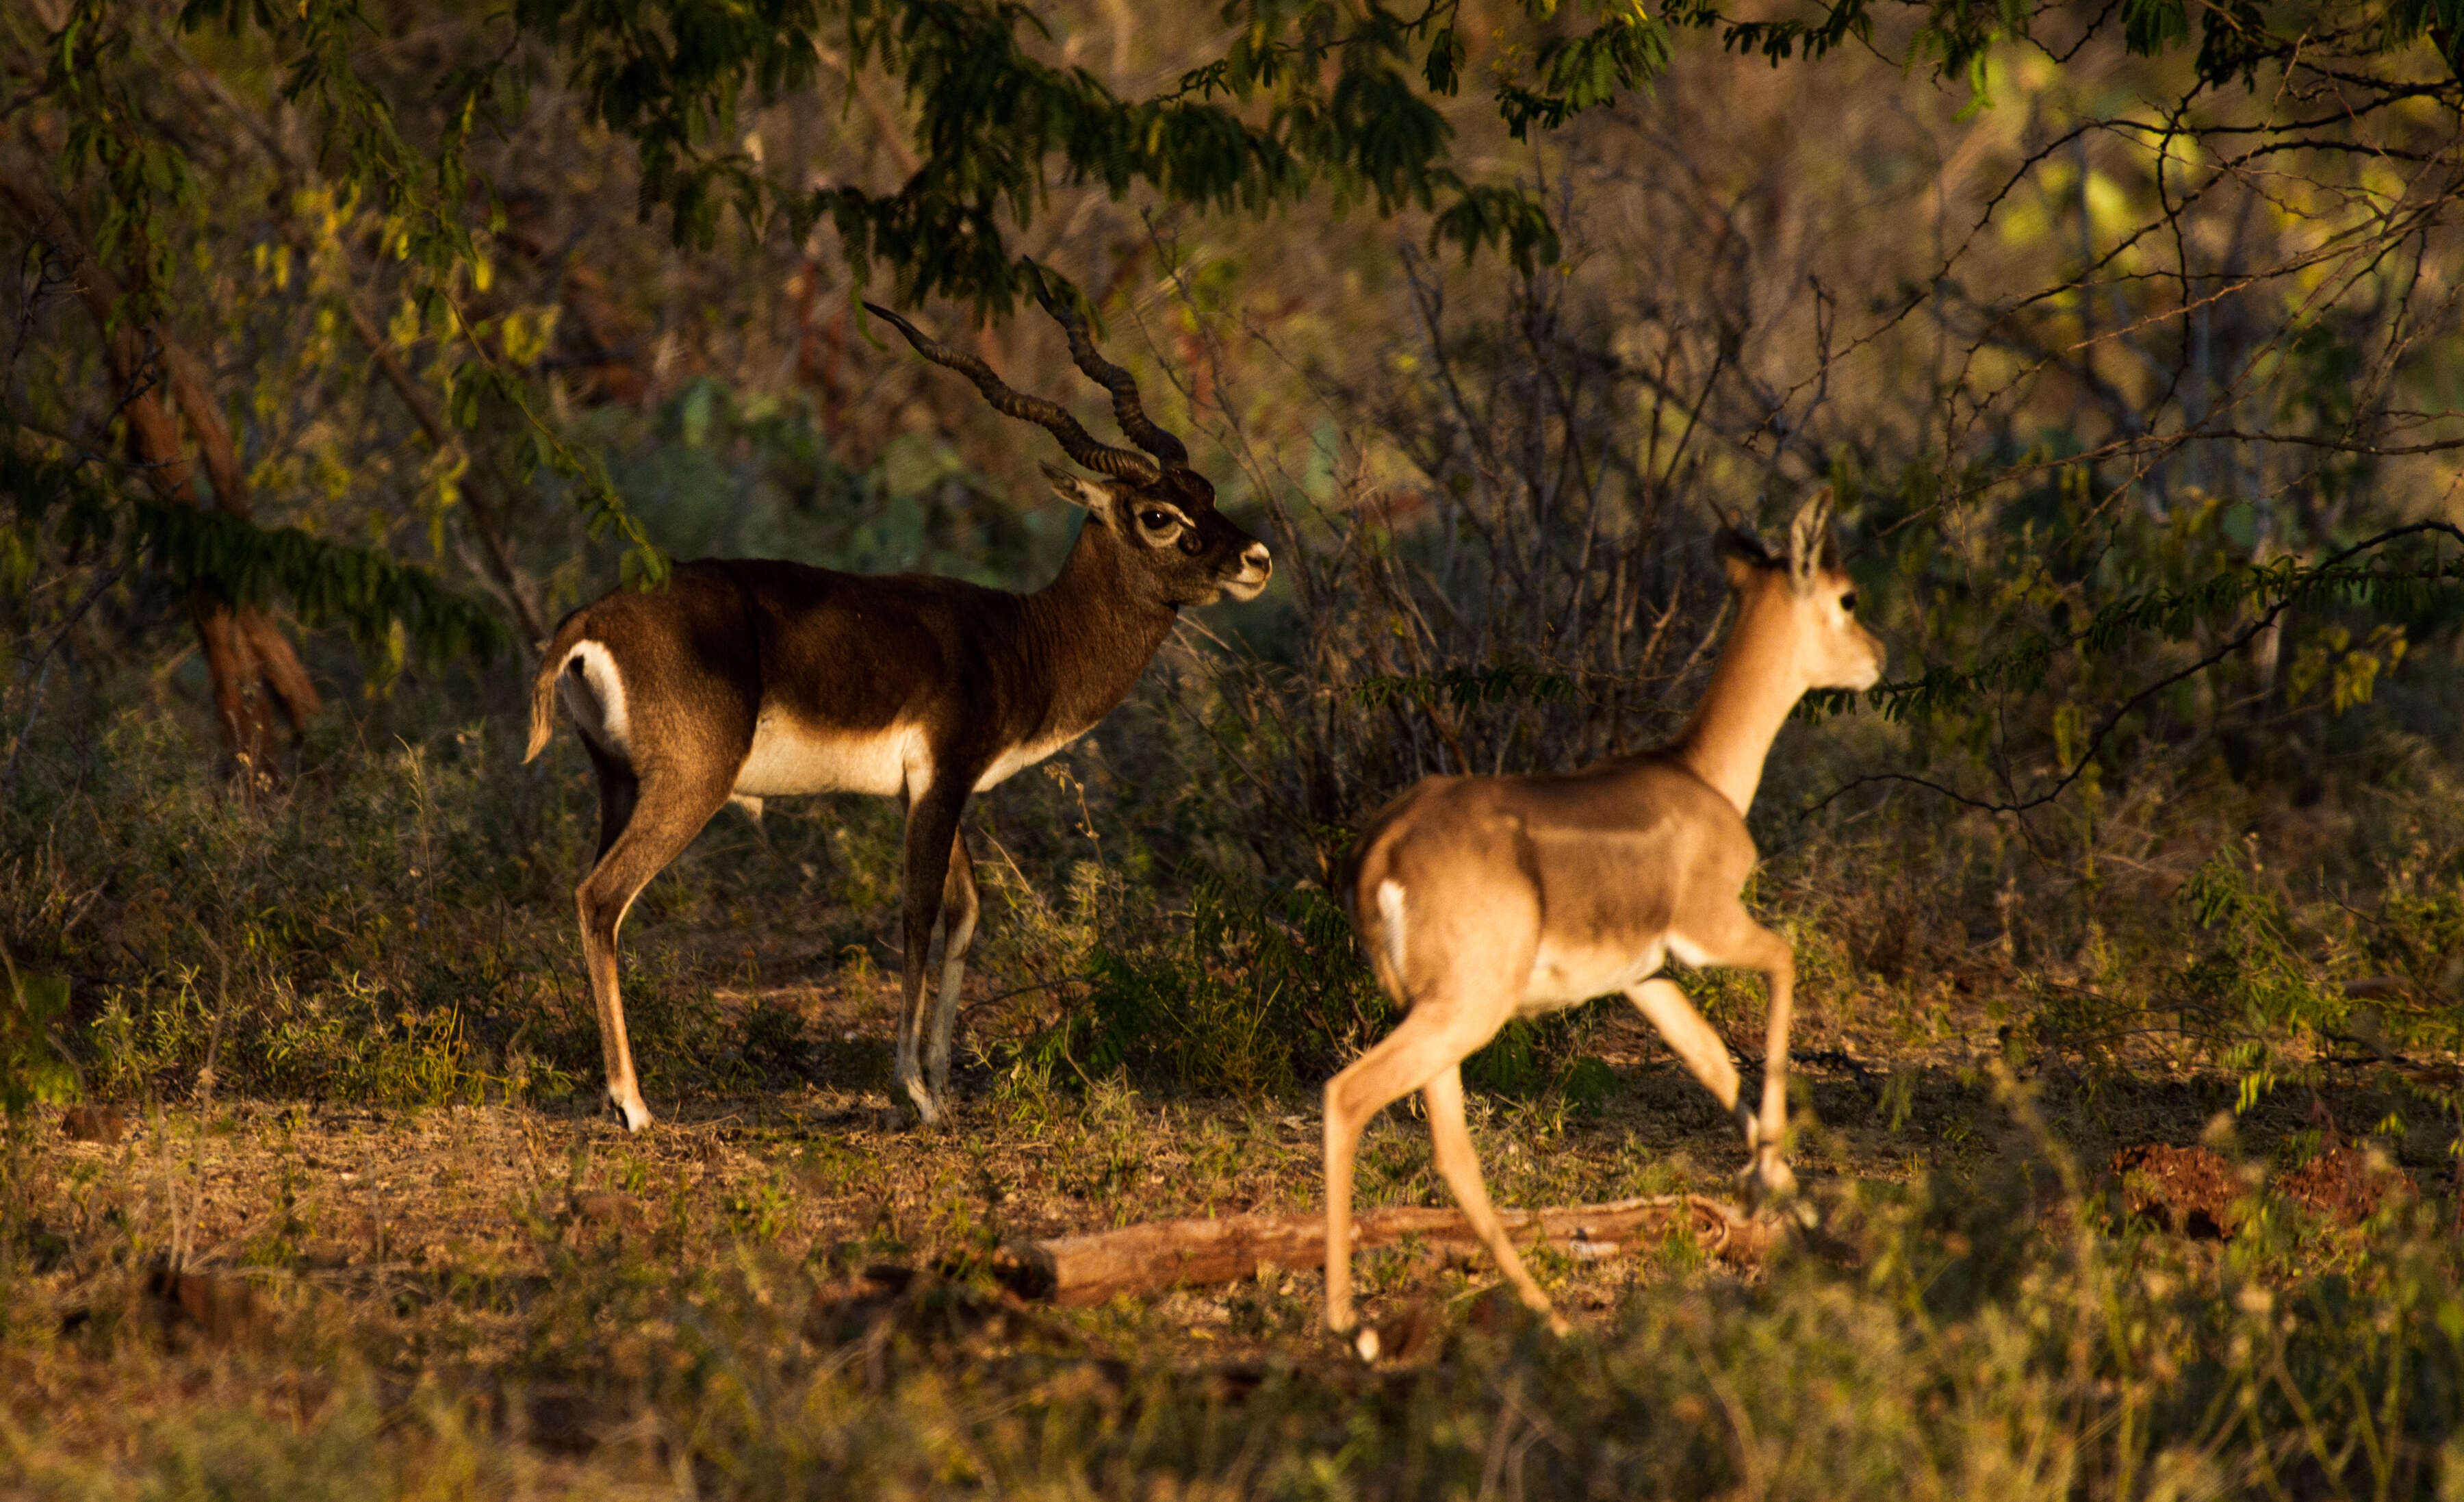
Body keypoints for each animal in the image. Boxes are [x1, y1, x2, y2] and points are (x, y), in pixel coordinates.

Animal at [532, 283, 1281, 1124]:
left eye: (1205, 492)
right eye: (1158, 516)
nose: (1257, 559)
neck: (1024, 638)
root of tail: (589, 622)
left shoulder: (922, 791)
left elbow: (968, 910)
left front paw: (944, 1083)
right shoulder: (944, 779)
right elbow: (919, 912)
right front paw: (914, 1090)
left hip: (618, 785)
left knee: (596, 901)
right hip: (691, 786)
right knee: (601, 897)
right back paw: (633, 1104)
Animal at [1331, 496, 1882, 1351]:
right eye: (1847, 595)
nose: (1878, 656)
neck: (1701, 776)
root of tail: (1378, 851)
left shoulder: (1644, 978)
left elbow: (1714, 1061)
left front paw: (1802, 1213)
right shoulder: (1713, 931)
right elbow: (1786, 965)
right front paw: (1764, 1186)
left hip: (1441, 1017)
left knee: (1452, 1152)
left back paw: (1550, 1315)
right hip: (1465, 1011)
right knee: (1347, 1098)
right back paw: (1351, 1326)